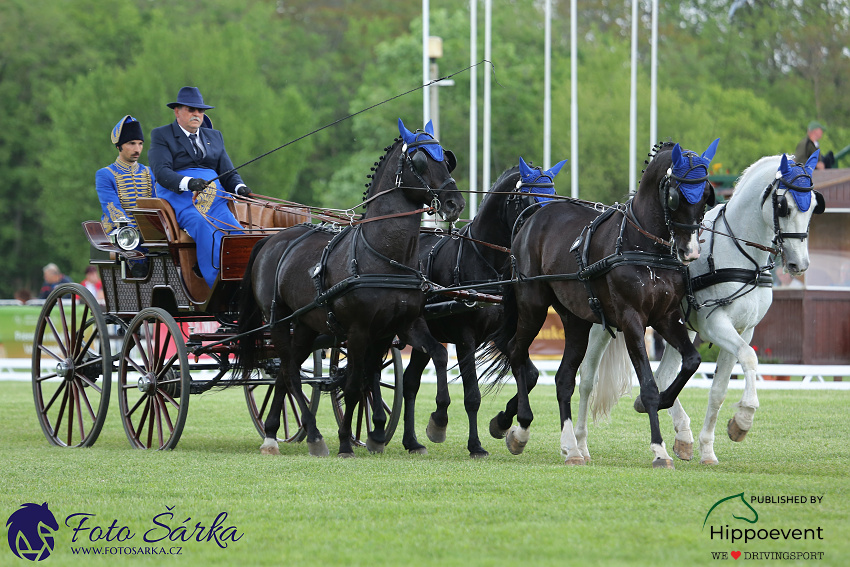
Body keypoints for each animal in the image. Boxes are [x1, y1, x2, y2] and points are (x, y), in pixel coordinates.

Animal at [234, 120, 464, 458]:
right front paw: (346, 441)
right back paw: (313, 435)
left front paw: (436, 422)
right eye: (420, 161)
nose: (455, 203)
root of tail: (272, 239)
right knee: (289, 372)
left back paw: (273, 434)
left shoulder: (401, 325)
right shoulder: (359, 331)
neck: (384, 258)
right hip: (279, 321)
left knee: (285, 371)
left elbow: (435, 356)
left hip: (307, 325)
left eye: (447, 159)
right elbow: (355, 383)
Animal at [400, 158, 568, 460]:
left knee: (410, 382)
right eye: (527, 197)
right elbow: (472, 395)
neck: (484, 262)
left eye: (553, 195)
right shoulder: (465, 338)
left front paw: (503, 422)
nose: (546, 232)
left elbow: (531, 375)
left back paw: (412, 441)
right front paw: (474, 444)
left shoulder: (501, 334)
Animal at [484, 140, 716, 468]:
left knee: (563, 379)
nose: (691, 251)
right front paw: (659, 449)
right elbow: (648, 385)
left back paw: (571, 447)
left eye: (705, 195)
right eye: (675, 196)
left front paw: (662, 407)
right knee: (517, 352)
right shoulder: (632, 321)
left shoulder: (666, 317)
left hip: (576, 320)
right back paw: (520, 428)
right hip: (533, 305)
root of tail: (530, 219)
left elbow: (692, 360)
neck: (643, 245)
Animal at [576, 151, 820, 466]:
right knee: (587, 379)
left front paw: (709, 448)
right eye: (783, 206)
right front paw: (744, 418)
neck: (741, 255)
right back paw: (580, 445)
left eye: (813, 206)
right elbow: (750, 358)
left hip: (675, 327)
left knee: (664, 375)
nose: (799, 264)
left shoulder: (744, 329)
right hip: (604, 325)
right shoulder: (714, 325)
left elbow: (719, 389)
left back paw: (682, 435)